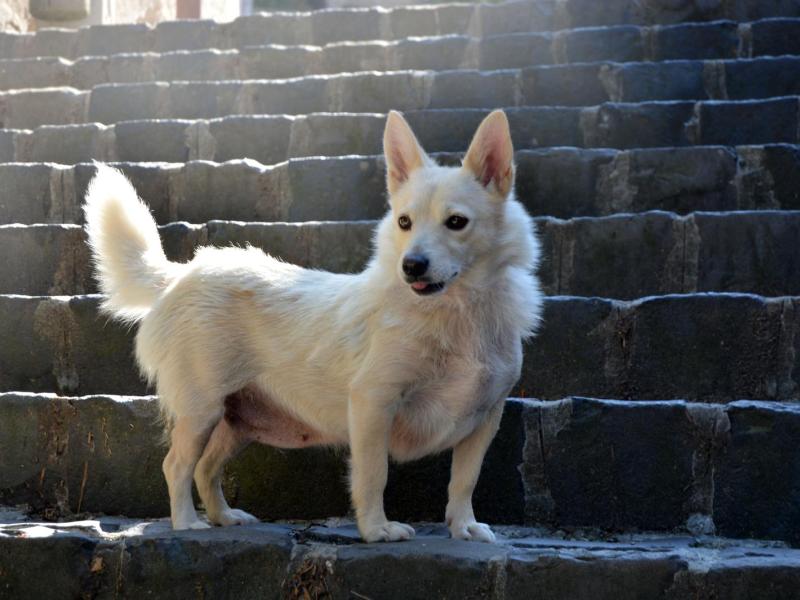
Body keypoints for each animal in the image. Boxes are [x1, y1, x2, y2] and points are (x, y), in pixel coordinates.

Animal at [83, 109, 542, 542]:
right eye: (404, 223)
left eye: (457, 222)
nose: (411, 265)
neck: (458, 312)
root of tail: (181, 273)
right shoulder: (374, 404)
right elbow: (373, 474)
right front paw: (376, 530)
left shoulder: (485, 418)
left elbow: (465, 480)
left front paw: (463, 526)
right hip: (202, 410)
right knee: (177, 464)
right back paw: (186, 522)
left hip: (238, 421)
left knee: (206, 468)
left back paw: (223, 517)